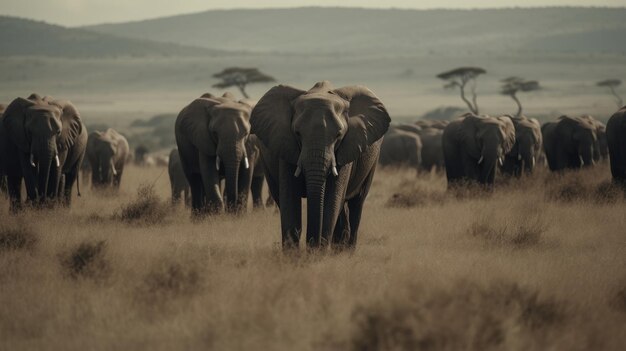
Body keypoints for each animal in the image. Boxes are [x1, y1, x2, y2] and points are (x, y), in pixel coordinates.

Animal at [250, 81, 390, 250]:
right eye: (297, 133)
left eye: (338, 135)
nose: (312, 245)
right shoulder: (286, 144)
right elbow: (290, 197)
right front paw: (293, 255)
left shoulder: (346, 147)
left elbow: (332, 196)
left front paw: (318, 253)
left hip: (373, 160)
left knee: (357, 202)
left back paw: (346, 250)